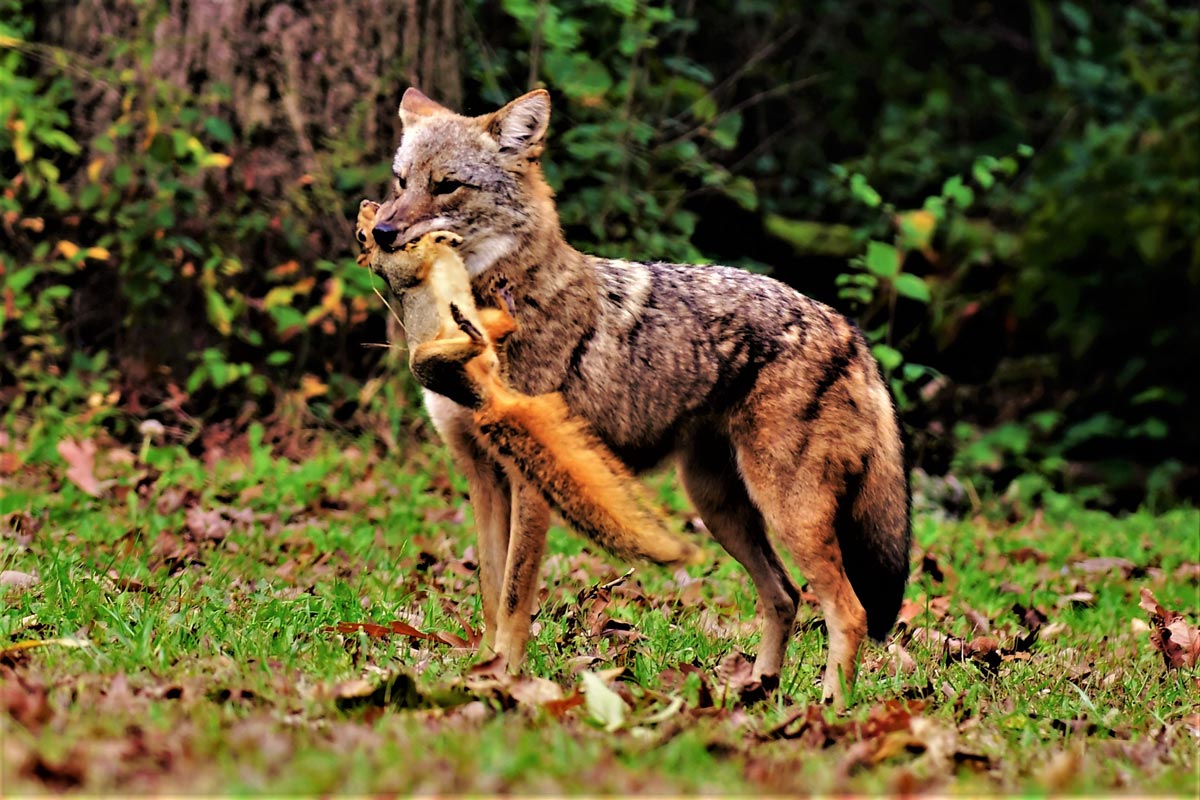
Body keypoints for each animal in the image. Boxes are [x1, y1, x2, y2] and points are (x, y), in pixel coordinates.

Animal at [355, 199, 700, 568]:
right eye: (361, 235)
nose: (368, 205)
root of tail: (486, 397)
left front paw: (445, 236)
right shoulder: (402, 267)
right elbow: (414, 261)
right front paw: (434, 240)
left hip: (486, 322)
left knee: (500, 329)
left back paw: (498, 309)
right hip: (426, 361)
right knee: (471, 344)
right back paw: (469, 330)